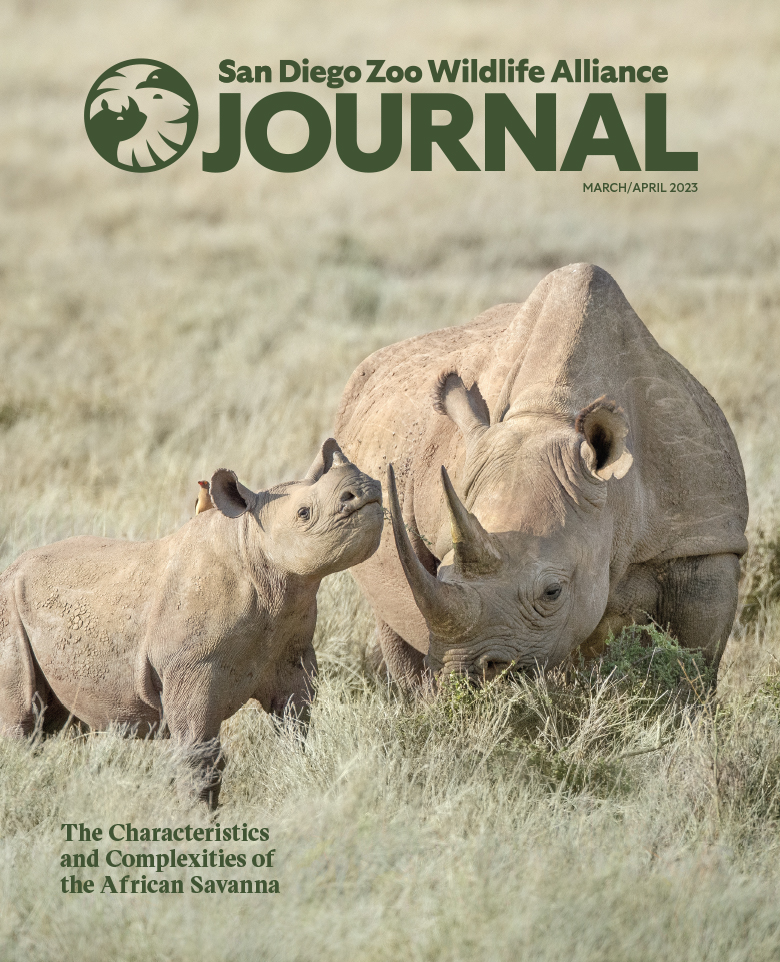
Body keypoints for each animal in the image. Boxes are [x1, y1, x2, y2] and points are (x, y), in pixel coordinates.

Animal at [0, 438, 384, 808]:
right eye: (304, 513)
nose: (369, 489)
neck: (254, 550)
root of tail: (12, 567)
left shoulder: (292, 656)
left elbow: (294, 729)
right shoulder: (191, 668)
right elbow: (198, 751)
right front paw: (198, 818)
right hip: (9, 603)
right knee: (22, 721)